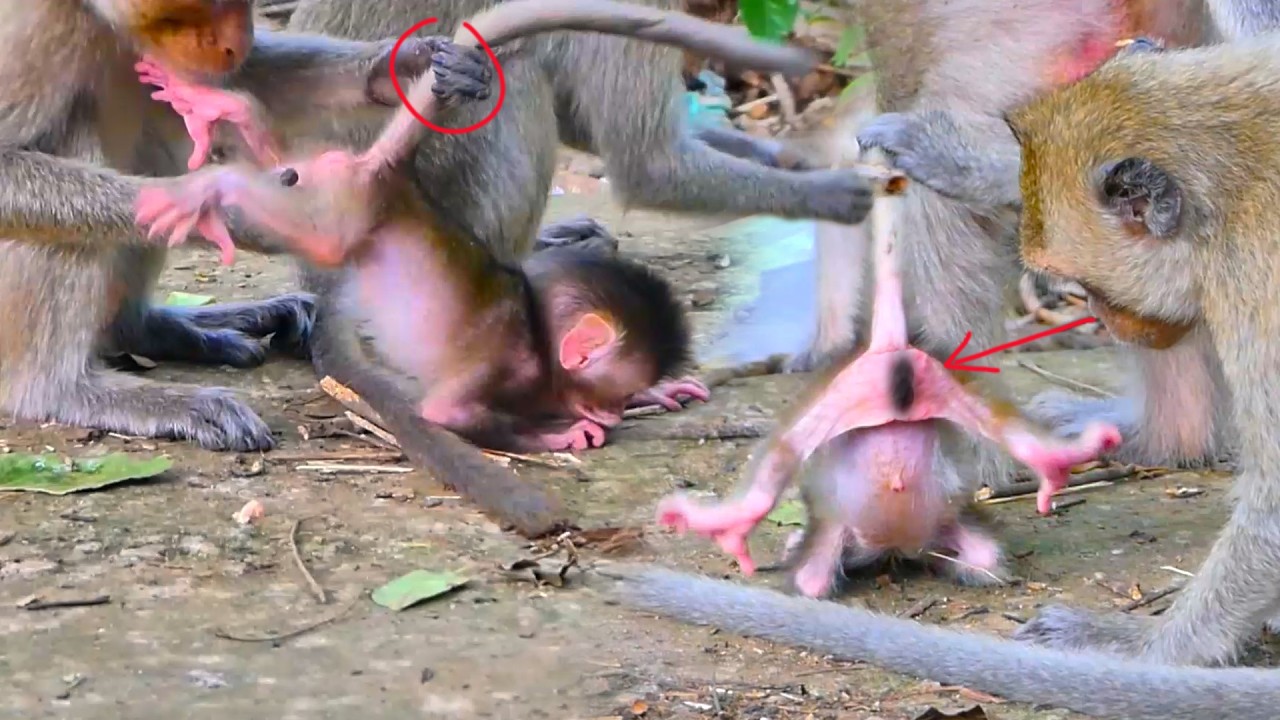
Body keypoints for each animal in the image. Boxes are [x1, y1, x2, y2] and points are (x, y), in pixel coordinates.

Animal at [0, 1, 502, 452]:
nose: (234, 42)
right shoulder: (36, 27)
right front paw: (240, 215)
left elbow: (236, 77)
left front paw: (400, 66)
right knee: (75, 133)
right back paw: (61, 390)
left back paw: (147, 329)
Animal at [133, 0, 833, 534]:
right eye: (609, 394)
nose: (613, 414)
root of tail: (379, 174)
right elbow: (649, 166)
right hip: (339, 211)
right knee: (517, 74)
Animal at [655, 175, 1120, 598]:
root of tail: (887, 345)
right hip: (948, 385)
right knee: (1003, 470)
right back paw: (1068, 456)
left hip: (830, 404)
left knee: (789, 501)